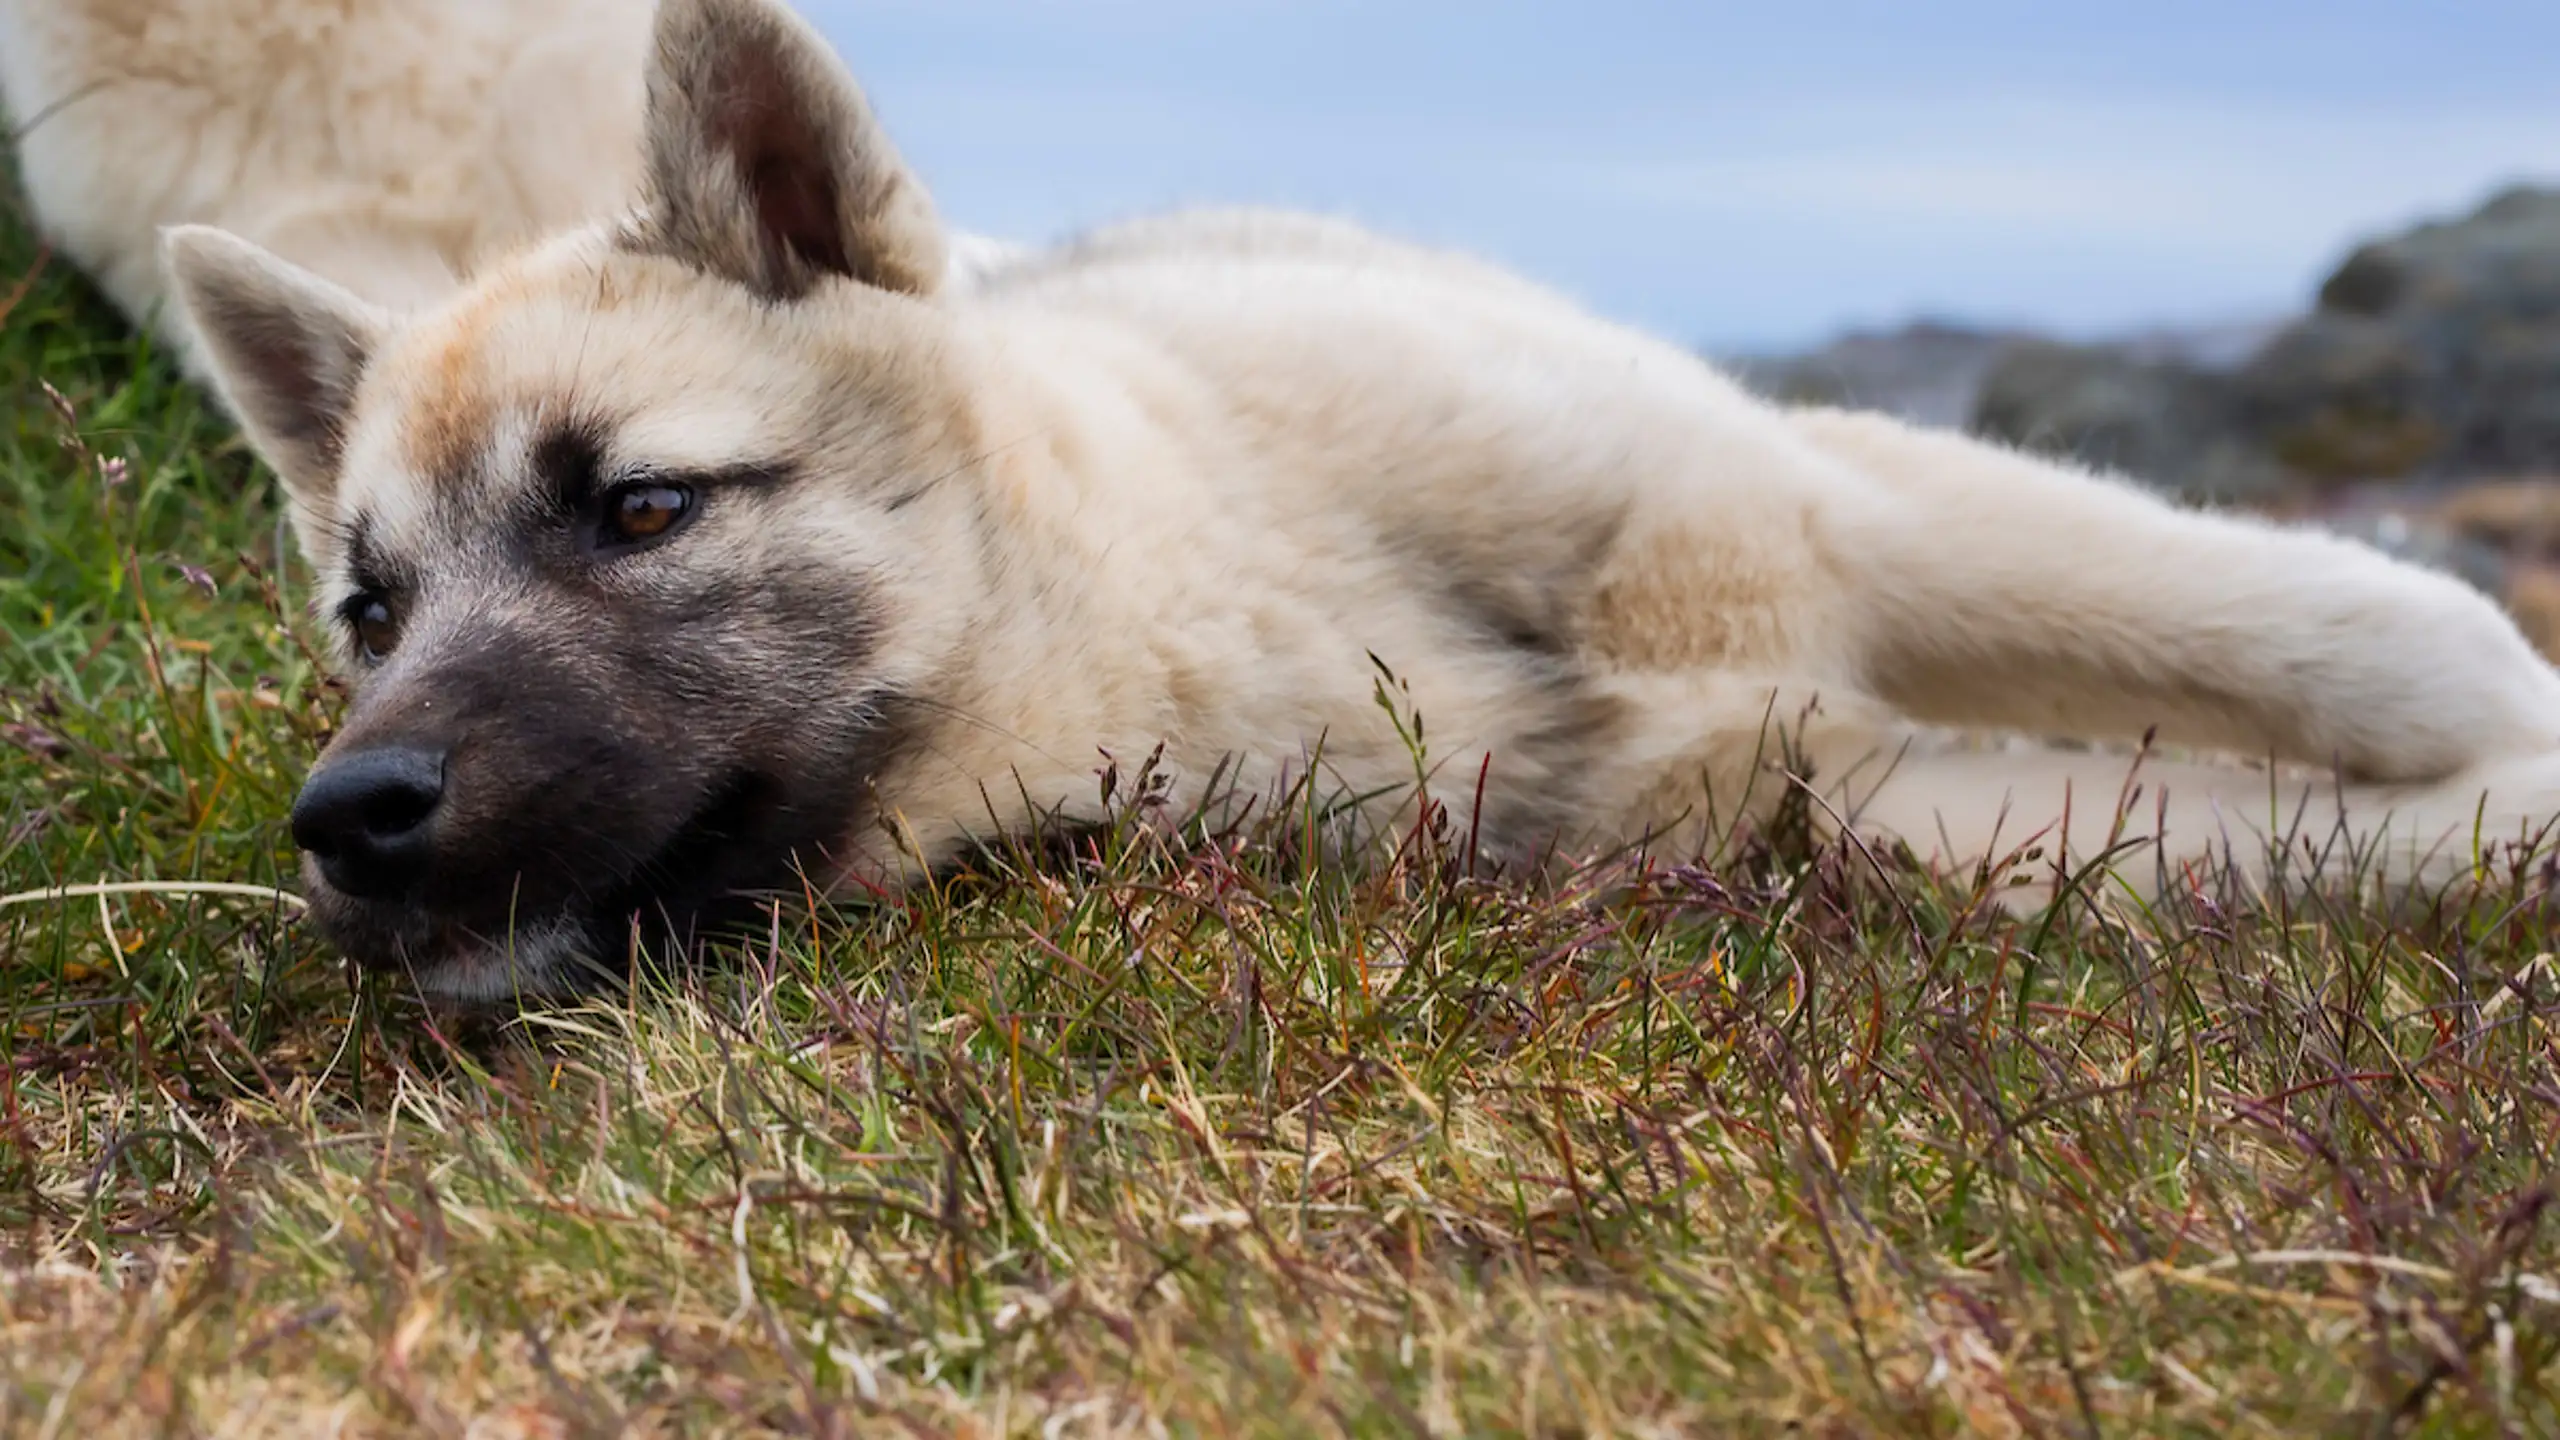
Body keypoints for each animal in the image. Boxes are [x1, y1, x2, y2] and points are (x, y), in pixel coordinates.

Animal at [5, 0, 2560, 999]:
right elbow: (2255, 829)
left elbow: (2367, 634)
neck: (1229, 598)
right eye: (368, 609)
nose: (351, 821)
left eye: (639, 508)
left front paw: (2496, 724)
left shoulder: (1810, 495)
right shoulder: (1842, 804)